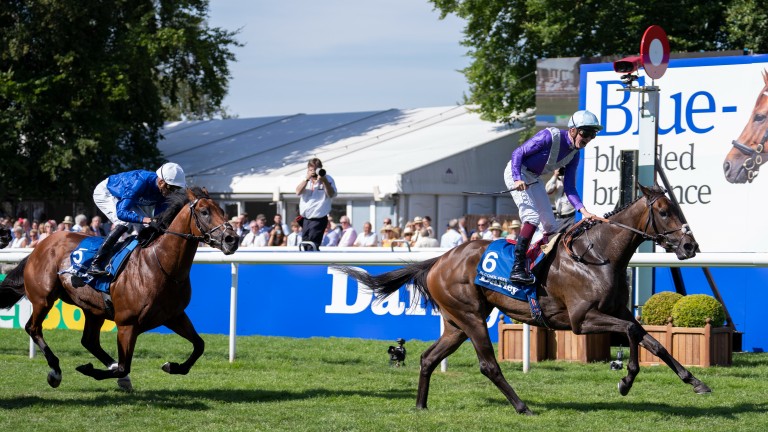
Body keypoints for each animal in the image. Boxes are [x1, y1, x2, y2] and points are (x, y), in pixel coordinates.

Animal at [0, 187, 238, 390]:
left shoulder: (174, 315)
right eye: (205, 212)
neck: (159, 265)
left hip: (93, 309)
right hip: (44, 298)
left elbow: (199, 345)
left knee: (89, 341)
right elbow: (125, 366)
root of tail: (39, 246)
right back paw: (55, 371)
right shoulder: (127, 323)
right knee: (33, 328)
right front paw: (90, 369)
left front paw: (172, 366)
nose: (232, 239)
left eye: (223, 211)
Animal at [336, 184, 708, 414]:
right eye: (664, 211)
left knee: (428, 358)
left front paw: (696, 382)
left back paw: (420, 405)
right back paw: (522, 406)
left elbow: (653, 341)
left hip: (456, 324)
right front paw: (626, 380)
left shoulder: (619, 311)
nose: (690, 246)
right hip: (471, 318)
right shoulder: (581, 320)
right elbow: (632, 335)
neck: (597, 256)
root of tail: (438, 260)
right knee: (488, 365)